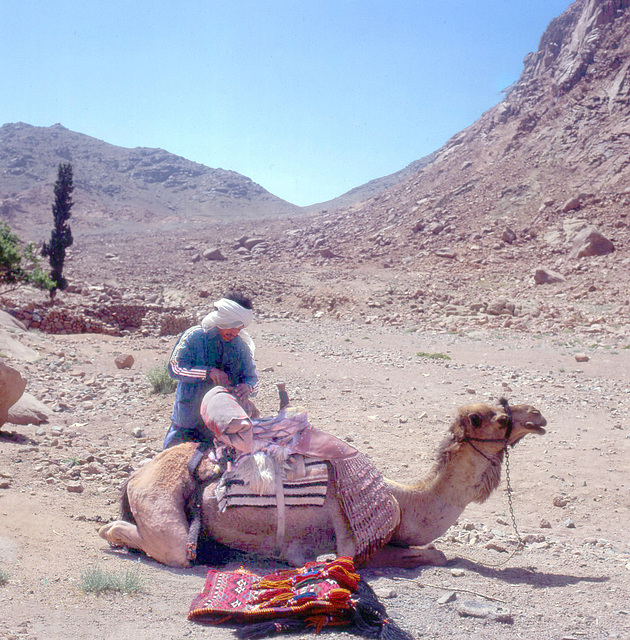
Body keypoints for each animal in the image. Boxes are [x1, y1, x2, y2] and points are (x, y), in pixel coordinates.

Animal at [100, 400, 548, 568]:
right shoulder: (350, 542)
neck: (404, 501)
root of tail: (136, 475)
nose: (539, 416)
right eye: (501, 419)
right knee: (162, 542)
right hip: (161, 503)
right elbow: (433, 553)